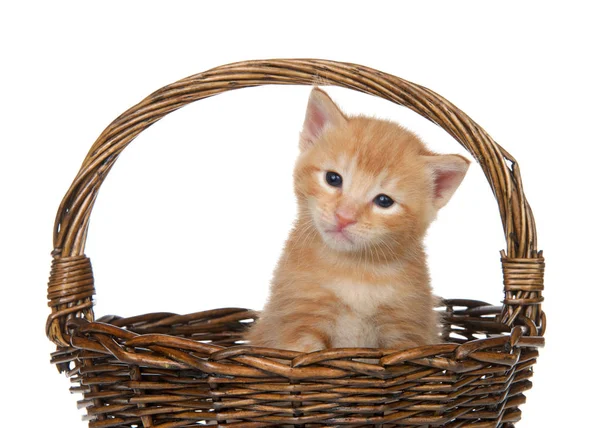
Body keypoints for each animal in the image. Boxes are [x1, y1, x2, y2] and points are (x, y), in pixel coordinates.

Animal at [244, 87, 468, 352]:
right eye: (333, 178)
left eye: (384, 201)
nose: (344, 217)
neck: (354, 270)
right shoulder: (298, 321)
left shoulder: (408, 330)